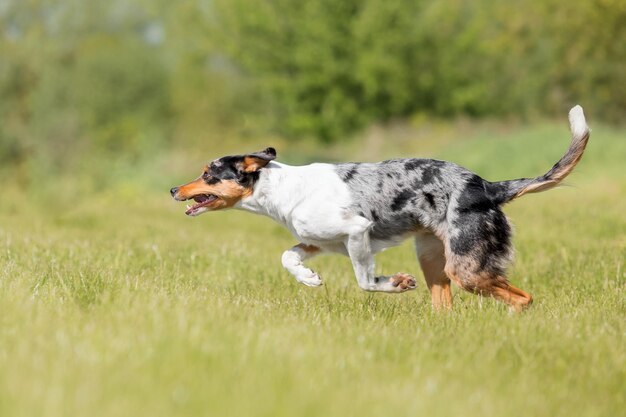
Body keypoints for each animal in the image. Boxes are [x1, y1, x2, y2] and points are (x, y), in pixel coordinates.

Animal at [171, 105, 588, 310]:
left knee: (523, 298)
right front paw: (309, 279)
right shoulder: (317, 242)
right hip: (434, 259)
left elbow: (364, 281)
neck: (285, 190)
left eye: (207, 173)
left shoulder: (357, 232)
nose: (174, 188)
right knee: (445, 307)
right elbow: (287, 256)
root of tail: (487, 186)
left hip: (466, 268)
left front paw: (394, 284)